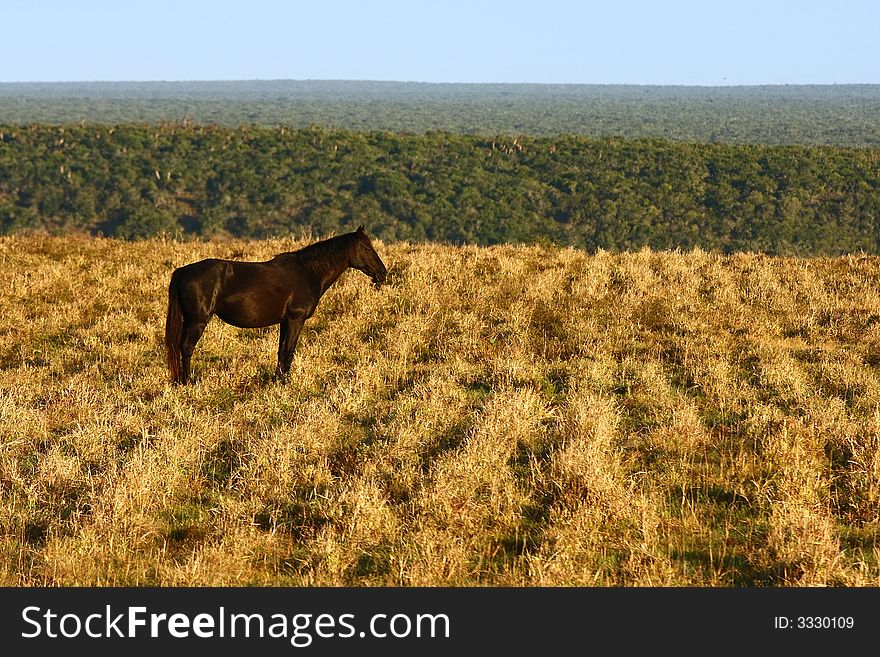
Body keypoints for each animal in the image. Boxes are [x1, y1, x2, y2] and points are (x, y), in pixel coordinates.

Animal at [165, 224, 384, 384]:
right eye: (366, 248)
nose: (383, 273)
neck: (308, 272)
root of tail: (184, 271)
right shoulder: (296, 319)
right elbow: (289, 351)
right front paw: (286, 382)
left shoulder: (285, 321)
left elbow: (281, 350)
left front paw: (277, 379)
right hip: (198, 321)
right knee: (186, 347)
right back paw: (188, 381)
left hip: (189, 320)